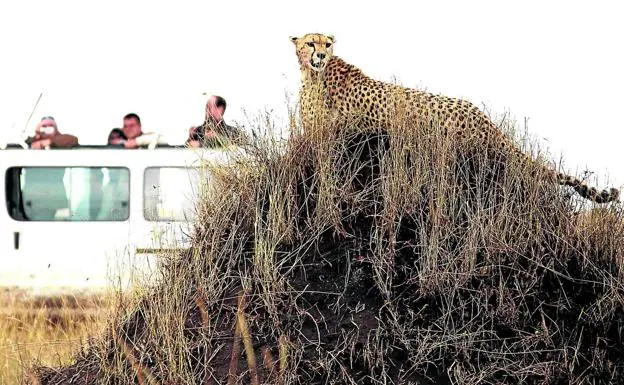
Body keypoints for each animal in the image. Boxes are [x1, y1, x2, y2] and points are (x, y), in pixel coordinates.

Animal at [288, 33, 620, 204]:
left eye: (327, 43)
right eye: (310, 43)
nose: (320, 54)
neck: (314, 73)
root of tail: (486, 121)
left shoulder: (330, 137)